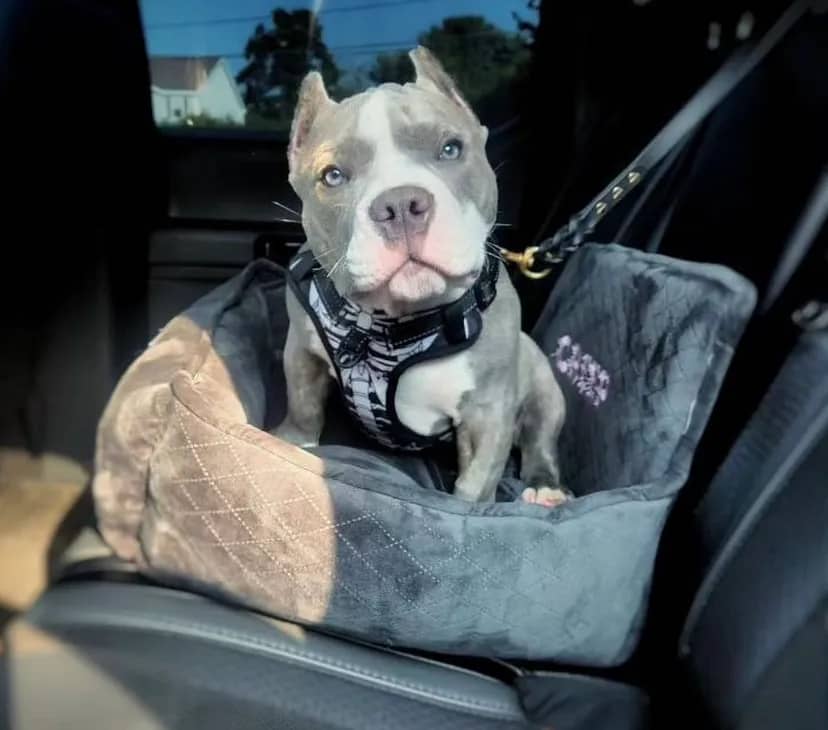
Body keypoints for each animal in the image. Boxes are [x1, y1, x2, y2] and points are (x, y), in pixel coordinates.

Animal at [278, 45, 568, 506]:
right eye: (332, 176)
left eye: (450, 149)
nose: (400, 204)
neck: (389, 324)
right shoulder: (301, 351)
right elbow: (303, 406)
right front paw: (292, 441)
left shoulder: (488, 411)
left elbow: (475, 485)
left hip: (543, 381)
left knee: (541, 435)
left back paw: (545, 486)